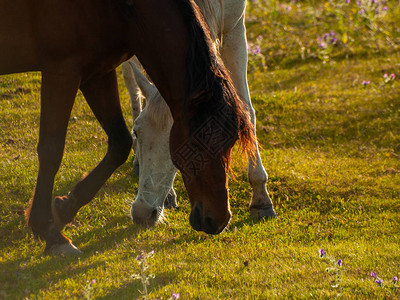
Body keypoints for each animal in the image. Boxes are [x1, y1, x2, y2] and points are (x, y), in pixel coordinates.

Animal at [0, 0, 253, 254]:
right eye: (195, 143)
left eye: (233, 141)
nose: (218, 219)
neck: (117, 9)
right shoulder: (62, 69)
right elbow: (51, 151)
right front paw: (49, 232)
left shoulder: (97, 71)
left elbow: (119, 143)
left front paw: (65, 208)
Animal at [122, 0, 276, 226]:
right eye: (136, 131)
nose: (142, 213)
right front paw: (169, 195)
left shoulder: (234, 29)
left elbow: (247, 111)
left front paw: (261, 200)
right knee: (132, 85)